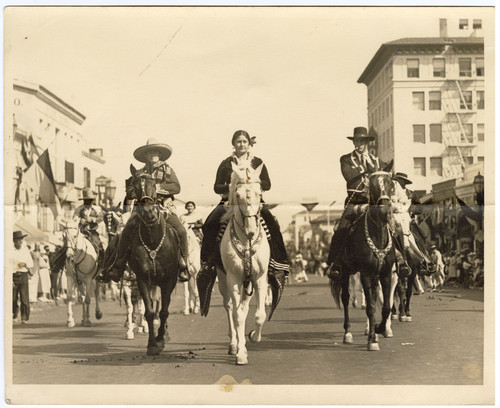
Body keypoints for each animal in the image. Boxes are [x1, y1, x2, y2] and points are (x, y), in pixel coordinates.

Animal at [217, 161, 270, 364]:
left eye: (259, 193)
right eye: (237, 195)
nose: (250, 230)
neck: (247, 241)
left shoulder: (260, 278)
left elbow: (259, 314)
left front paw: (254, 336)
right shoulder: (233, 278)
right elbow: (237, 316)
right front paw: (240, 353)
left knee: (244, 307)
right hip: (223, 280)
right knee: (231, 308)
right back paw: (234, 345)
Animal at [330, 171, 396, 352]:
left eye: (390, 184)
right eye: (372, 186)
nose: (384, 210)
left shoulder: (385, 274)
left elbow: (386, 306)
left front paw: (380, 329)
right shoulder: (365, 273)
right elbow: (371, 308)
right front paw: (372, 340)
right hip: (345, 272)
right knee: (345, 298)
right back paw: (347, 333)